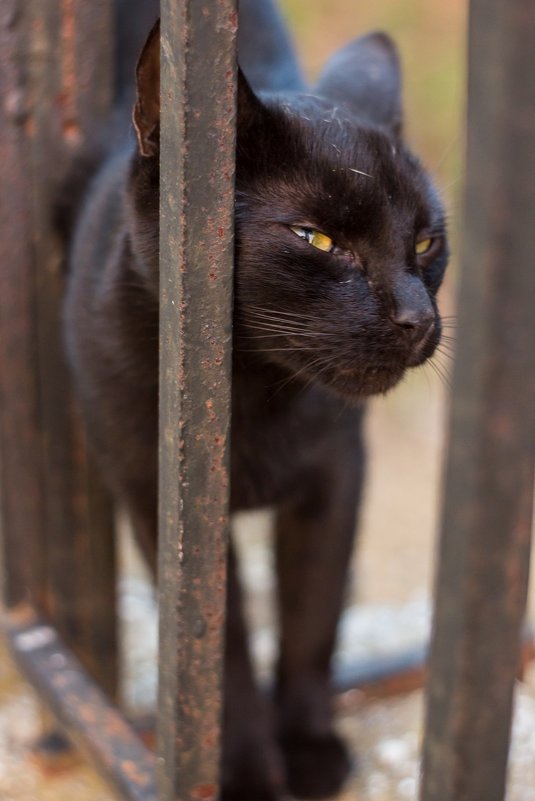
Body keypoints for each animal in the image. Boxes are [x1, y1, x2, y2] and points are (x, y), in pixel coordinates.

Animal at [62, 3, 448, 796]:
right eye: (317, 238)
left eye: (426, 243)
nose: (417, 318)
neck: (254, 397)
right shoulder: (158, 502)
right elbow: (223, 653)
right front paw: (241, 770)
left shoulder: (337, 476)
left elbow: (312, 614)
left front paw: (307, 747)